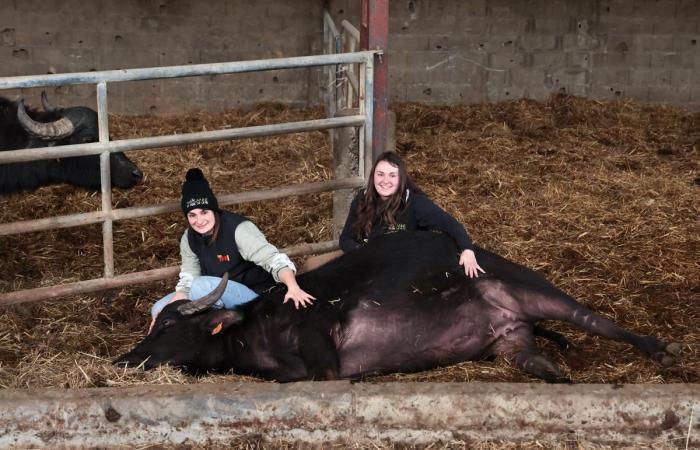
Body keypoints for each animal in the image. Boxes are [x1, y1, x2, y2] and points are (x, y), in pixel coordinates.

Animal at [115, 232, 680, 384]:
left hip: (535, 289)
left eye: (167, 327)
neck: (257, 329)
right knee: (543, 364)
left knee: (595, 319)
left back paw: (663, 348)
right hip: (510, 345)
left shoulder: (323, 348)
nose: (124, 359)